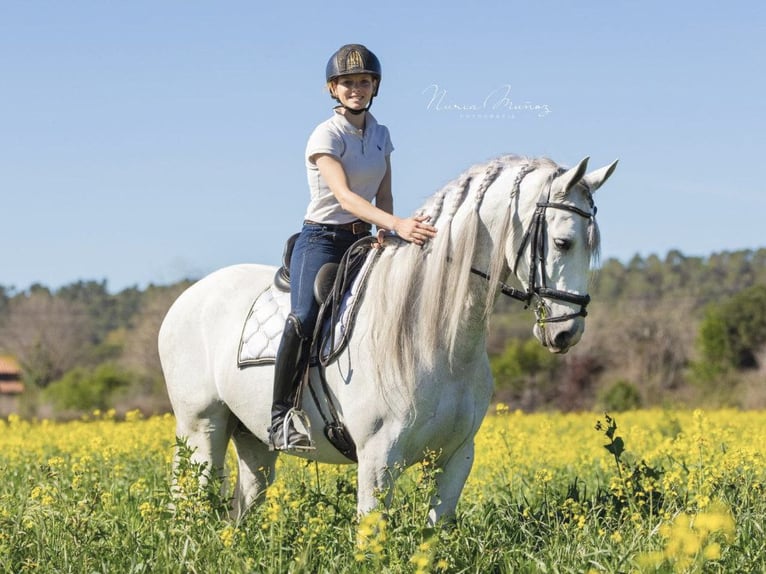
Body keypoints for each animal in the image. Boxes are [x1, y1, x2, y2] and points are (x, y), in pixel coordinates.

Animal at [160, 153, 616, 528]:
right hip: (202, 428)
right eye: (563, 242)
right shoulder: (378, 459)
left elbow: (435, 534)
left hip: (252, 440)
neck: (438, 340)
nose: (567, 332)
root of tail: (185, 298)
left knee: (240, 509)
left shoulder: (456, 457)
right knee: (190, 504)